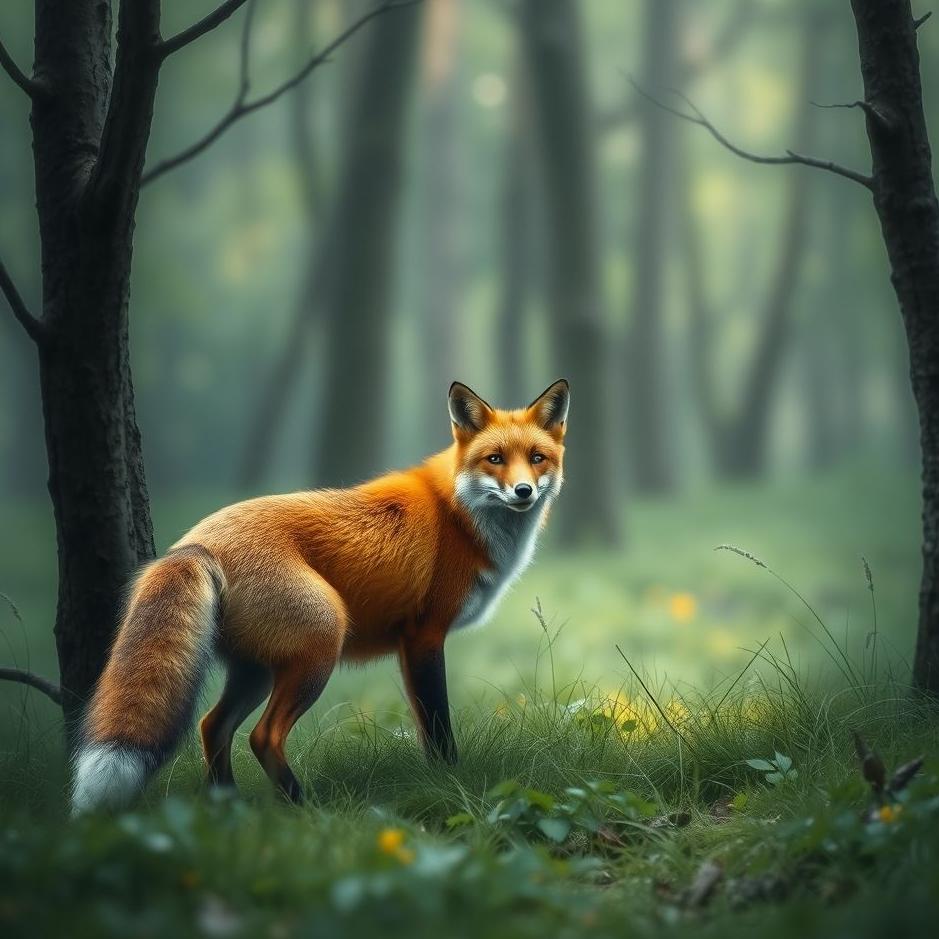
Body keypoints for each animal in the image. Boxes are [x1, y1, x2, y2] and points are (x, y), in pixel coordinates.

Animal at [71, 379, 570, 813]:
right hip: (320, 644)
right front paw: (451, 781)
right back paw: (304, 809)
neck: (461, 517)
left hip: (255, 671)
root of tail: (196, 543)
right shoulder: (425, 636)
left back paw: (229, 806)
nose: (523, 491)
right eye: (495, 458)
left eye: (537, 458)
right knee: (262, 736)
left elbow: (424, 726)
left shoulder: (407, 646)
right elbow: (438, 725)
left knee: (212, 725)